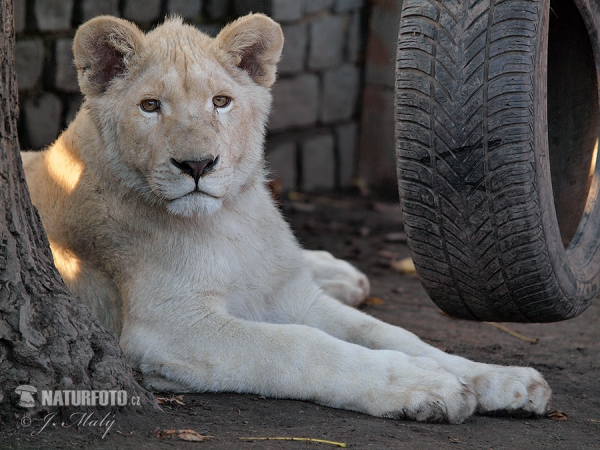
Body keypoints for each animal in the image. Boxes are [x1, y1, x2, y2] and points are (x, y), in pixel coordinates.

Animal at [21, 13, 552, 422]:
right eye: (150, 106)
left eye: (221, 101)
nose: (197, 165)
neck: (230, 220)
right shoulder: (167, 327)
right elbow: (302, 345)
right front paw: (426, 386)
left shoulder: (292, 295)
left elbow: (392, 333)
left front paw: (502, 380)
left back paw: (344, 275)